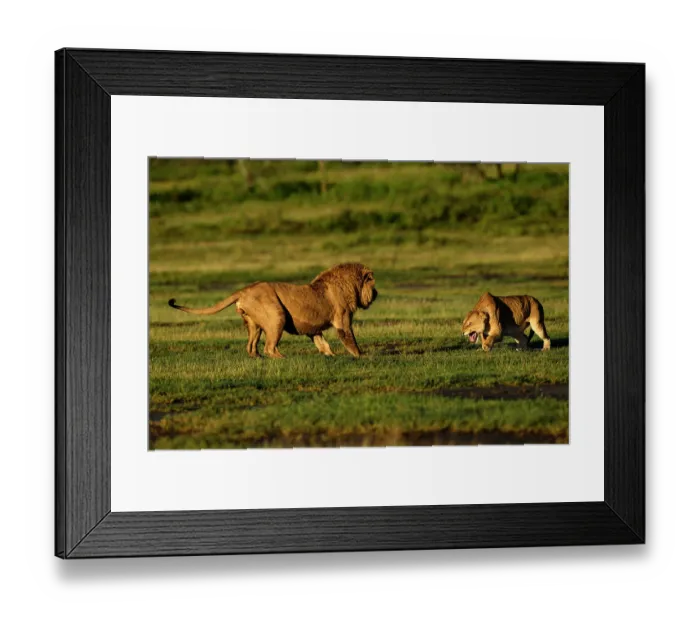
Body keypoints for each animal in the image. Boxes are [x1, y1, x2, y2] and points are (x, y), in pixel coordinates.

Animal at [168, 263, 378, 359]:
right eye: (373, 285)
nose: (376, 294)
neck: (350, 285)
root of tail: (244, 290)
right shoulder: (343, 320)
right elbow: (350, 341)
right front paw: (361, 356)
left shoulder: (313, 329)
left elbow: (322, 343)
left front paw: (330, 356)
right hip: (277, 316)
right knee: (269, 347)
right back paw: (283, 358)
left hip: (254, 324)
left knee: (251, 346)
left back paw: (257, 358)